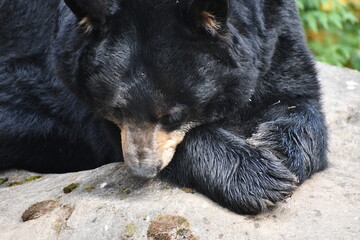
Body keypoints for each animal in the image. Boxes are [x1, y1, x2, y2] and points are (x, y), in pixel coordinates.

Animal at [0, 0, 326, 214]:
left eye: (174, 115)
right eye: (116, 110)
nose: (143, 170)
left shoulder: (275, 25)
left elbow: (296, 93)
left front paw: (277, 150)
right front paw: (259, 179)